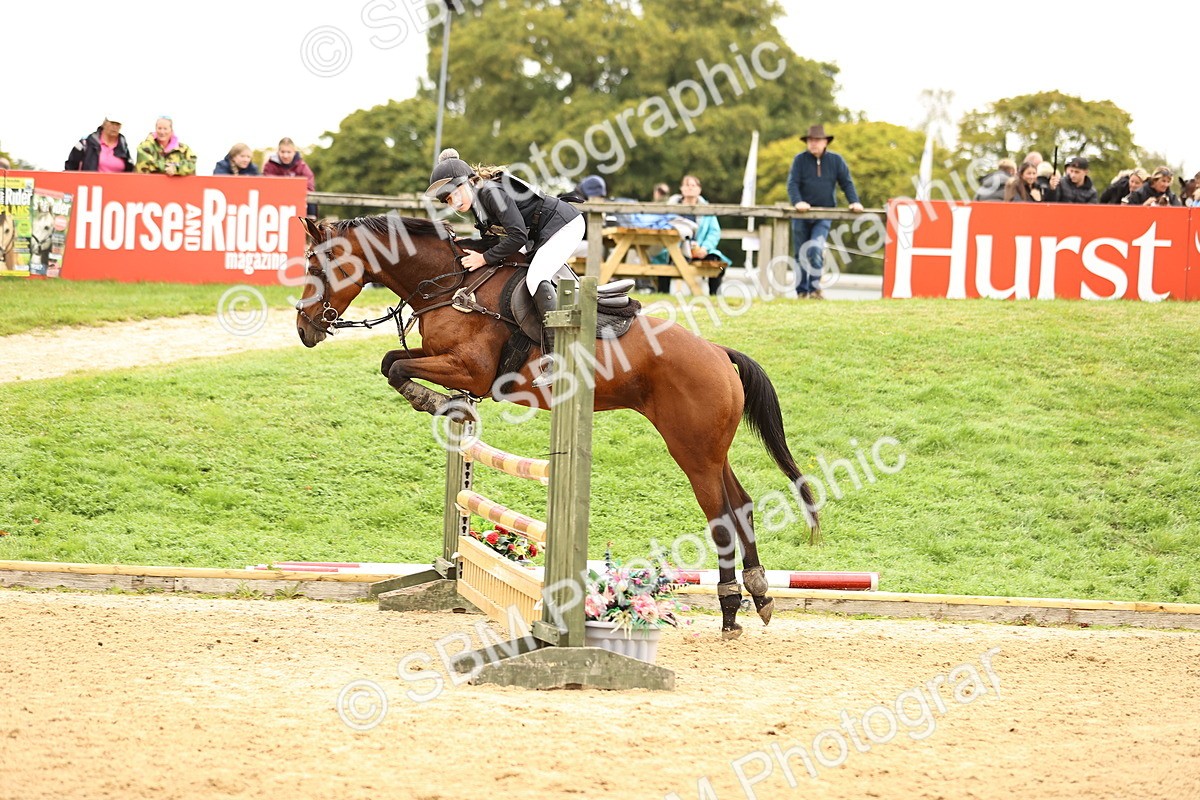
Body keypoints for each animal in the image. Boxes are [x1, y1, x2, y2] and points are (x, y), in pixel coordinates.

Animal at [294, 214, 818, 638]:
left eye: (323, 264)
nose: (304, 328)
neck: (451, 285)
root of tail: (719, 354)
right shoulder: (441, 357)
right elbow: (392, 360)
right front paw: (446, 406)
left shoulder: (471, 371)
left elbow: (398, 367)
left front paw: (436, 403)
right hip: (709, 449)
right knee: (742, 505)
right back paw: (758, 597)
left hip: (691, 451)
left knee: (721, 517)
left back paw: (730, 611)